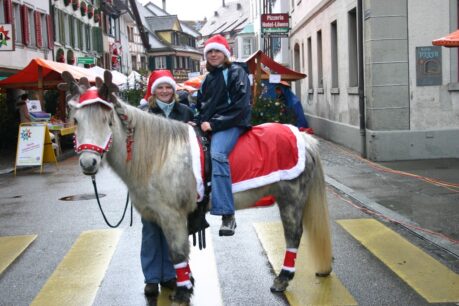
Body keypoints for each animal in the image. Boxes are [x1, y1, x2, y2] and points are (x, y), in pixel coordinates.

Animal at [60, 70, 334, 304]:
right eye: (76, 120)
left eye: (106, 120)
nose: (88, 162)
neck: (159, 155)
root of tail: (304, 137)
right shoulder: (161, 215)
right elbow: (174, 252)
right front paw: (183, 283)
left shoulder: (172, 215)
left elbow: (177, 254)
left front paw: (182, 293)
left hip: (291, 198)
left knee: (293, 234)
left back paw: (283, 278)